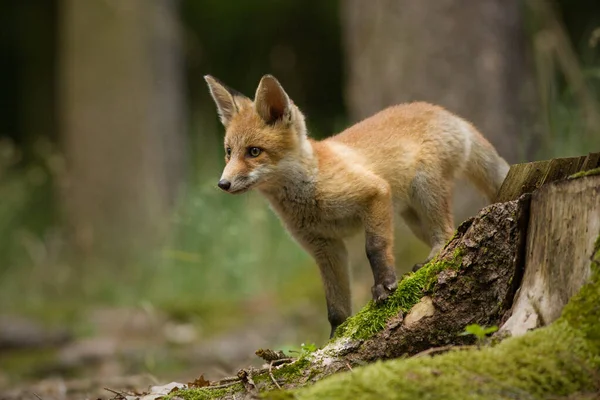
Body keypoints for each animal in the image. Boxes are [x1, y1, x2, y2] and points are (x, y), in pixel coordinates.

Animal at [204, 72, 508, 338]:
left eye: (254, 152)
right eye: (229, 152)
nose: (222, 184)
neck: (311, 190)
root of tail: (446, 113)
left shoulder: (374, 193)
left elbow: (374, 248)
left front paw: (384, 286)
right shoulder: (324, 246)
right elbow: (335, 305)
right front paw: (336, 337)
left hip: (425, 190)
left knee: (446, 233)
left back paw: (432, 258)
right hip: (413, 217)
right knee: (451, 231)